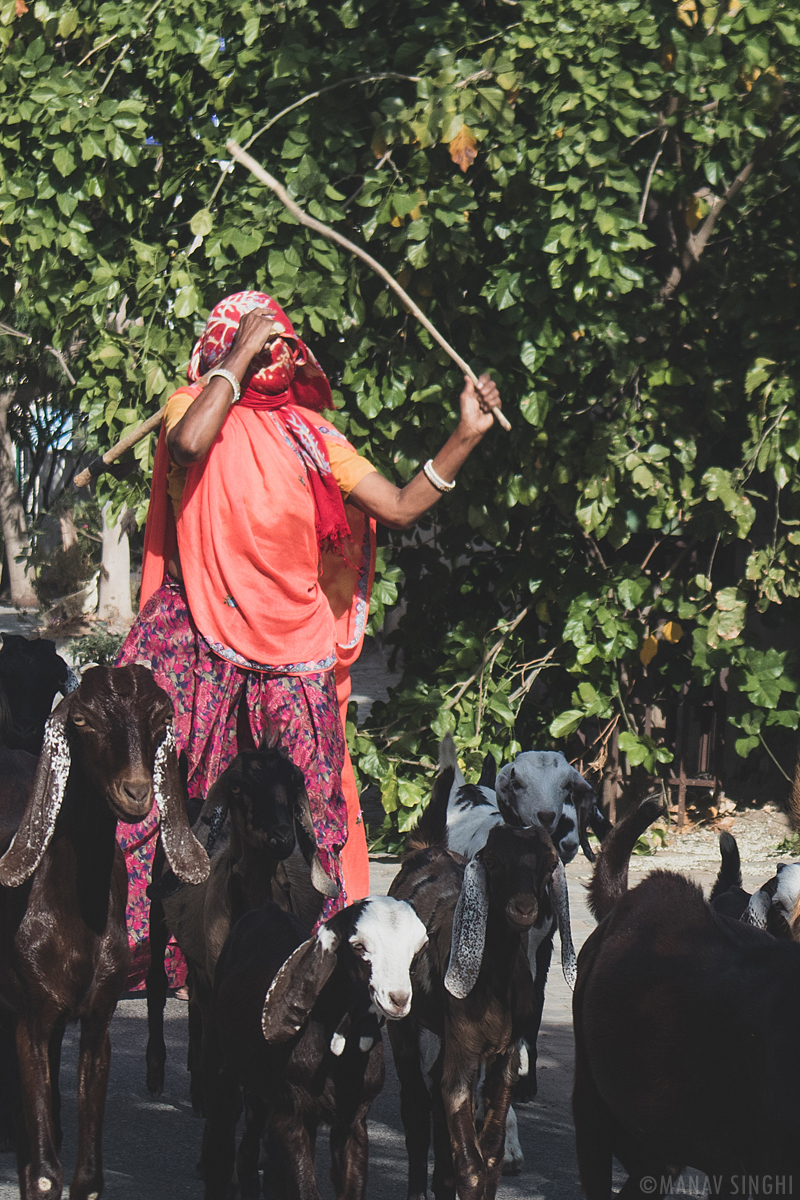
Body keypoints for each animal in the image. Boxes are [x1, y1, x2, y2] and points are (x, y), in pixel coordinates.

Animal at [0, 662, 209, 1200]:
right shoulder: (29, 1018)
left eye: (161, 720)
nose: (136, 792)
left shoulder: (97, 1018)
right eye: (82, 721)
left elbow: (87, 1176)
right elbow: (44, 1174)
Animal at [143, 744, 338, 1108]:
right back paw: (158, 1072)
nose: (281, 838)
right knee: (157, 983)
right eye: (238, 787)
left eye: (292, 783)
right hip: (157, 913)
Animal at [208, 897, 431, 1195]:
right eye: (358, 946)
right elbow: (305, 1189)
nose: (398, 999)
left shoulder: (353, 1120)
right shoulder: (291, 1114)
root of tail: (267, 909)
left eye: (419, 946)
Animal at [388, 825, 568, 1200]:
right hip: (402, 1022)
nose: (523, 908)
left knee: (435, 1094)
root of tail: (425, 850)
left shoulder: (504, 1053)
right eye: (494, 861)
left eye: (548, 865)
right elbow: (470, 1165)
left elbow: (491, 1154)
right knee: (415, 1106)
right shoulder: (465, 1049)